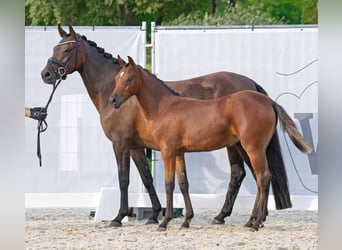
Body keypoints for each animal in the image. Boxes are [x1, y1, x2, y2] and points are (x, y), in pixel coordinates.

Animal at [40, 24, 292, 228]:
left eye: (66, 50)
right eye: (54, 48)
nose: (46, 74)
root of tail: (251, 85)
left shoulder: (121, 145)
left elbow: (124, 180)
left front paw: (119, 217)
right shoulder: (137, 147)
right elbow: (147, 178)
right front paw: (154, 215)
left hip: (241, 145)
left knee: (247, 174)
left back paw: (239, 217)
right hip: (240, 144)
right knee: (252, 174)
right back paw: (248, 217)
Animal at [109, 56, 312, 230]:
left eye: (129, 79)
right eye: (117, 78)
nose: (113, 100)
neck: (165, 107)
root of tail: (268, 101)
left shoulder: (168, 152)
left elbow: (169, 185)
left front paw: (164, 222)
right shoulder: (179, 153)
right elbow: (183, 183)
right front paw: (186, 221)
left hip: (253, 148)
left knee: (263, 177)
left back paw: (254, 223)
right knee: (259, 178)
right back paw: (251, 221)